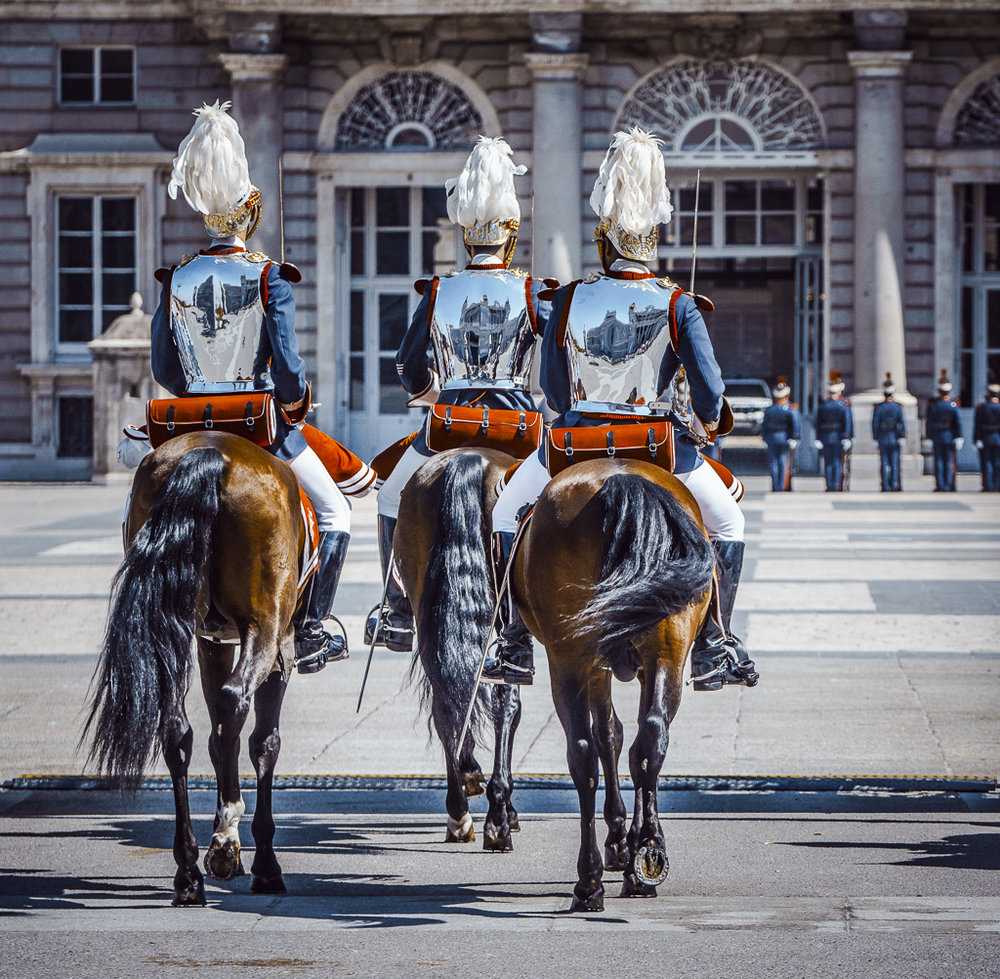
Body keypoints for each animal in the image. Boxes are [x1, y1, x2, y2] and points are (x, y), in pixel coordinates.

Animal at [83, 432, 302, 908]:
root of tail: (211, 453)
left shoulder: (210, 644)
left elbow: (222, 741)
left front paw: (229, 845)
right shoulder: (282, 645)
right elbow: (263, 741)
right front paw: (253, 855)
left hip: (177, 623)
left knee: (176, 730)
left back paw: (188, 871)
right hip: (266, 625)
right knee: (236, 703)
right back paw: (230, 846)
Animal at [394, 450, 524, 848]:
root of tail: (469, 460)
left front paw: (470, 774)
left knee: (443, 705)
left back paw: (458, 813)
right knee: (504, 703)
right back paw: (498, 819)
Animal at [512, 460, 716, 912]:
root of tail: (619, 477)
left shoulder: (595, 664)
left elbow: (609, 735)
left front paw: (620, 840)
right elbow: (622, 738)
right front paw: (629, 843)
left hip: (573, 658)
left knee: (587, 753)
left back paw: (592, 880)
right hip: (664, 650)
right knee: (648, 740)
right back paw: (645, 858)